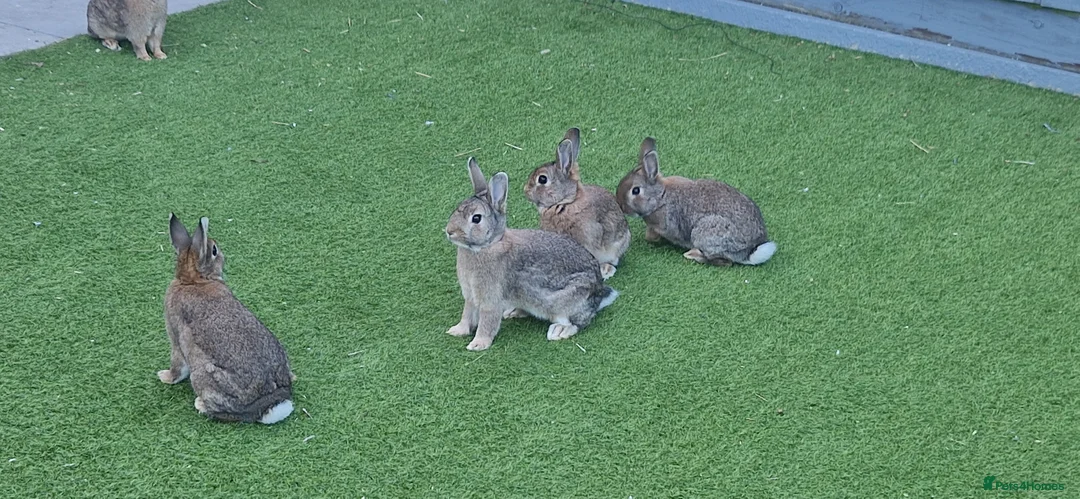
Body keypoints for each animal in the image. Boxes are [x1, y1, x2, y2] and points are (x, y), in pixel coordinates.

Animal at [160, 214, 295, 424]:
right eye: (214, 250)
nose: (223, 256)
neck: (193, 281)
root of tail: (269, 403)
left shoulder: (175, 338)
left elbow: (177, 366)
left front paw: (164, 377)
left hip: (203, 375)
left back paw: (200, 404)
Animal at [444, 158, 619, 351]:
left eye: (476, 218)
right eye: (457, 209)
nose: (449, 231)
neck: (486, 247)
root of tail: (599, 294)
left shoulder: (491, 298)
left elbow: (487, 322)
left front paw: (477, 344)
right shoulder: (470, 296)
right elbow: (467, 314)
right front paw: (456, 331)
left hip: (562, 302)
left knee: (578, 322)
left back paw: (559, 331)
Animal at [616, 137, 777, 266]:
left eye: (635, 191)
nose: (621, 205)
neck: (661, 196)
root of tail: (749, 251)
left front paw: (652, 238)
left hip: (706, 233)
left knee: (725, 262)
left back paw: (694, 255)